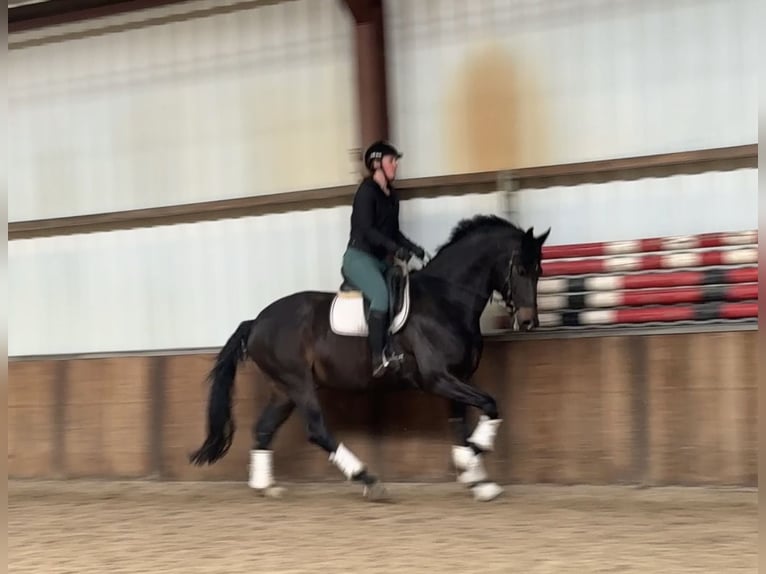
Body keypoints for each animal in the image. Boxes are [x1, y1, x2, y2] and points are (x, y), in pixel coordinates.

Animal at [189, 214, 550, 502]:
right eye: (520, 269)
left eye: (539, 270)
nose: (528, 322)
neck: (447, 300)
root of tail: (256, 321)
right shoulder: (438, 379)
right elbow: (490, 405)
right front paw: (471, 459)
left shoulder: (456, 378)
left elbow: (462, 425)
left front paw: (478, 480)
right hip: (298, 382)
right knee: (316, 430)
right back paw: (368, 479)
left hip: (283, 389)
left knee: (263, 430)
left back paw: (266, 486)